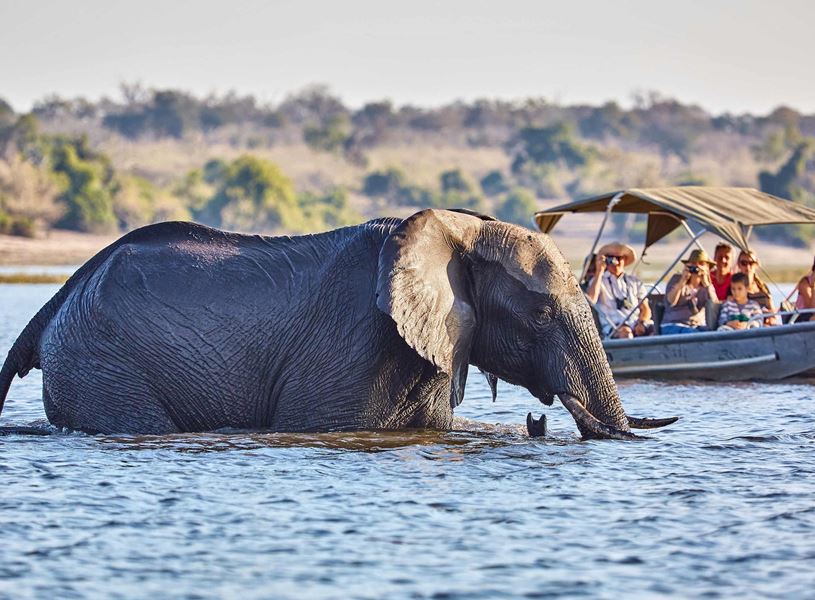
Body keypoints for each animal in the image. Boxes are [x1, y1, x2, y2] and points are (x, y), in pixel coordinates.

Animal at [0, 208, 676, 439]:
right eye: (538, 313)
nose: (540, 418)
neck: (457, 229)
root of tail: (59, 299)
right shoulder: (353, 343)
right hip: (100, 362)